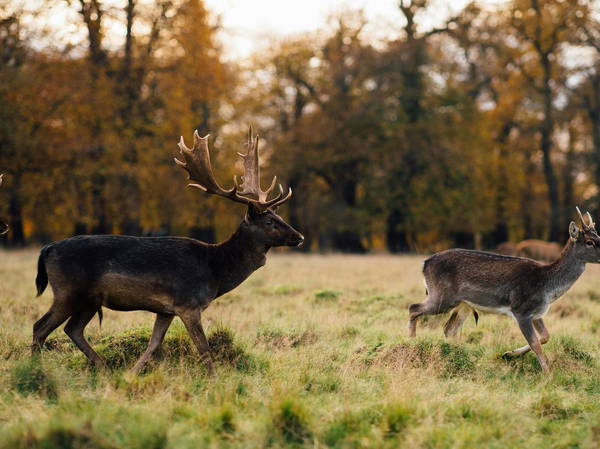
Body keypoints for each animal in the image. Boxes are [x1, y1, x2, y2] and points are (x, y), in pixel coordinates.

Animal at [32, 128, 302, 372]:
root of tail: (47, 249)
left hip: (89, 299)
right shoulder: (188, 304)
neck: (215, 271)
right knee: (40, 327)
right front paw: (214, 380)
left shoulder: (165, 310)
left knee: (72, 329)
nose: (299, 237)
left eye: (278, 216)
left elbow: (154, 344)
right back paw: (35, 368)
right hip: (67, 290)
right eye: (269, 222)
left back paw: (104, 368)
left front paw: (131, 374)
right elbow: (203, 349)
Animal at [408, 206, 600, 372]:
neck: (547, 287)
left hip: (464, 304)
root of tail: (425, 263)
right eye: (589, 242)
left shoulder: (537, 313)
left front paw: (508, 354)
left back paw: (460, 355)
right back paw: (412, 343)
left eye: (598, 237)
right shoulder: (521, 309)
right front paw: (548, 376)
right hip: (442, 296)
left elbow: (545, 337)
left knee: (449, 328)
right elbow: (536, 344)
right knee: (413, 308)